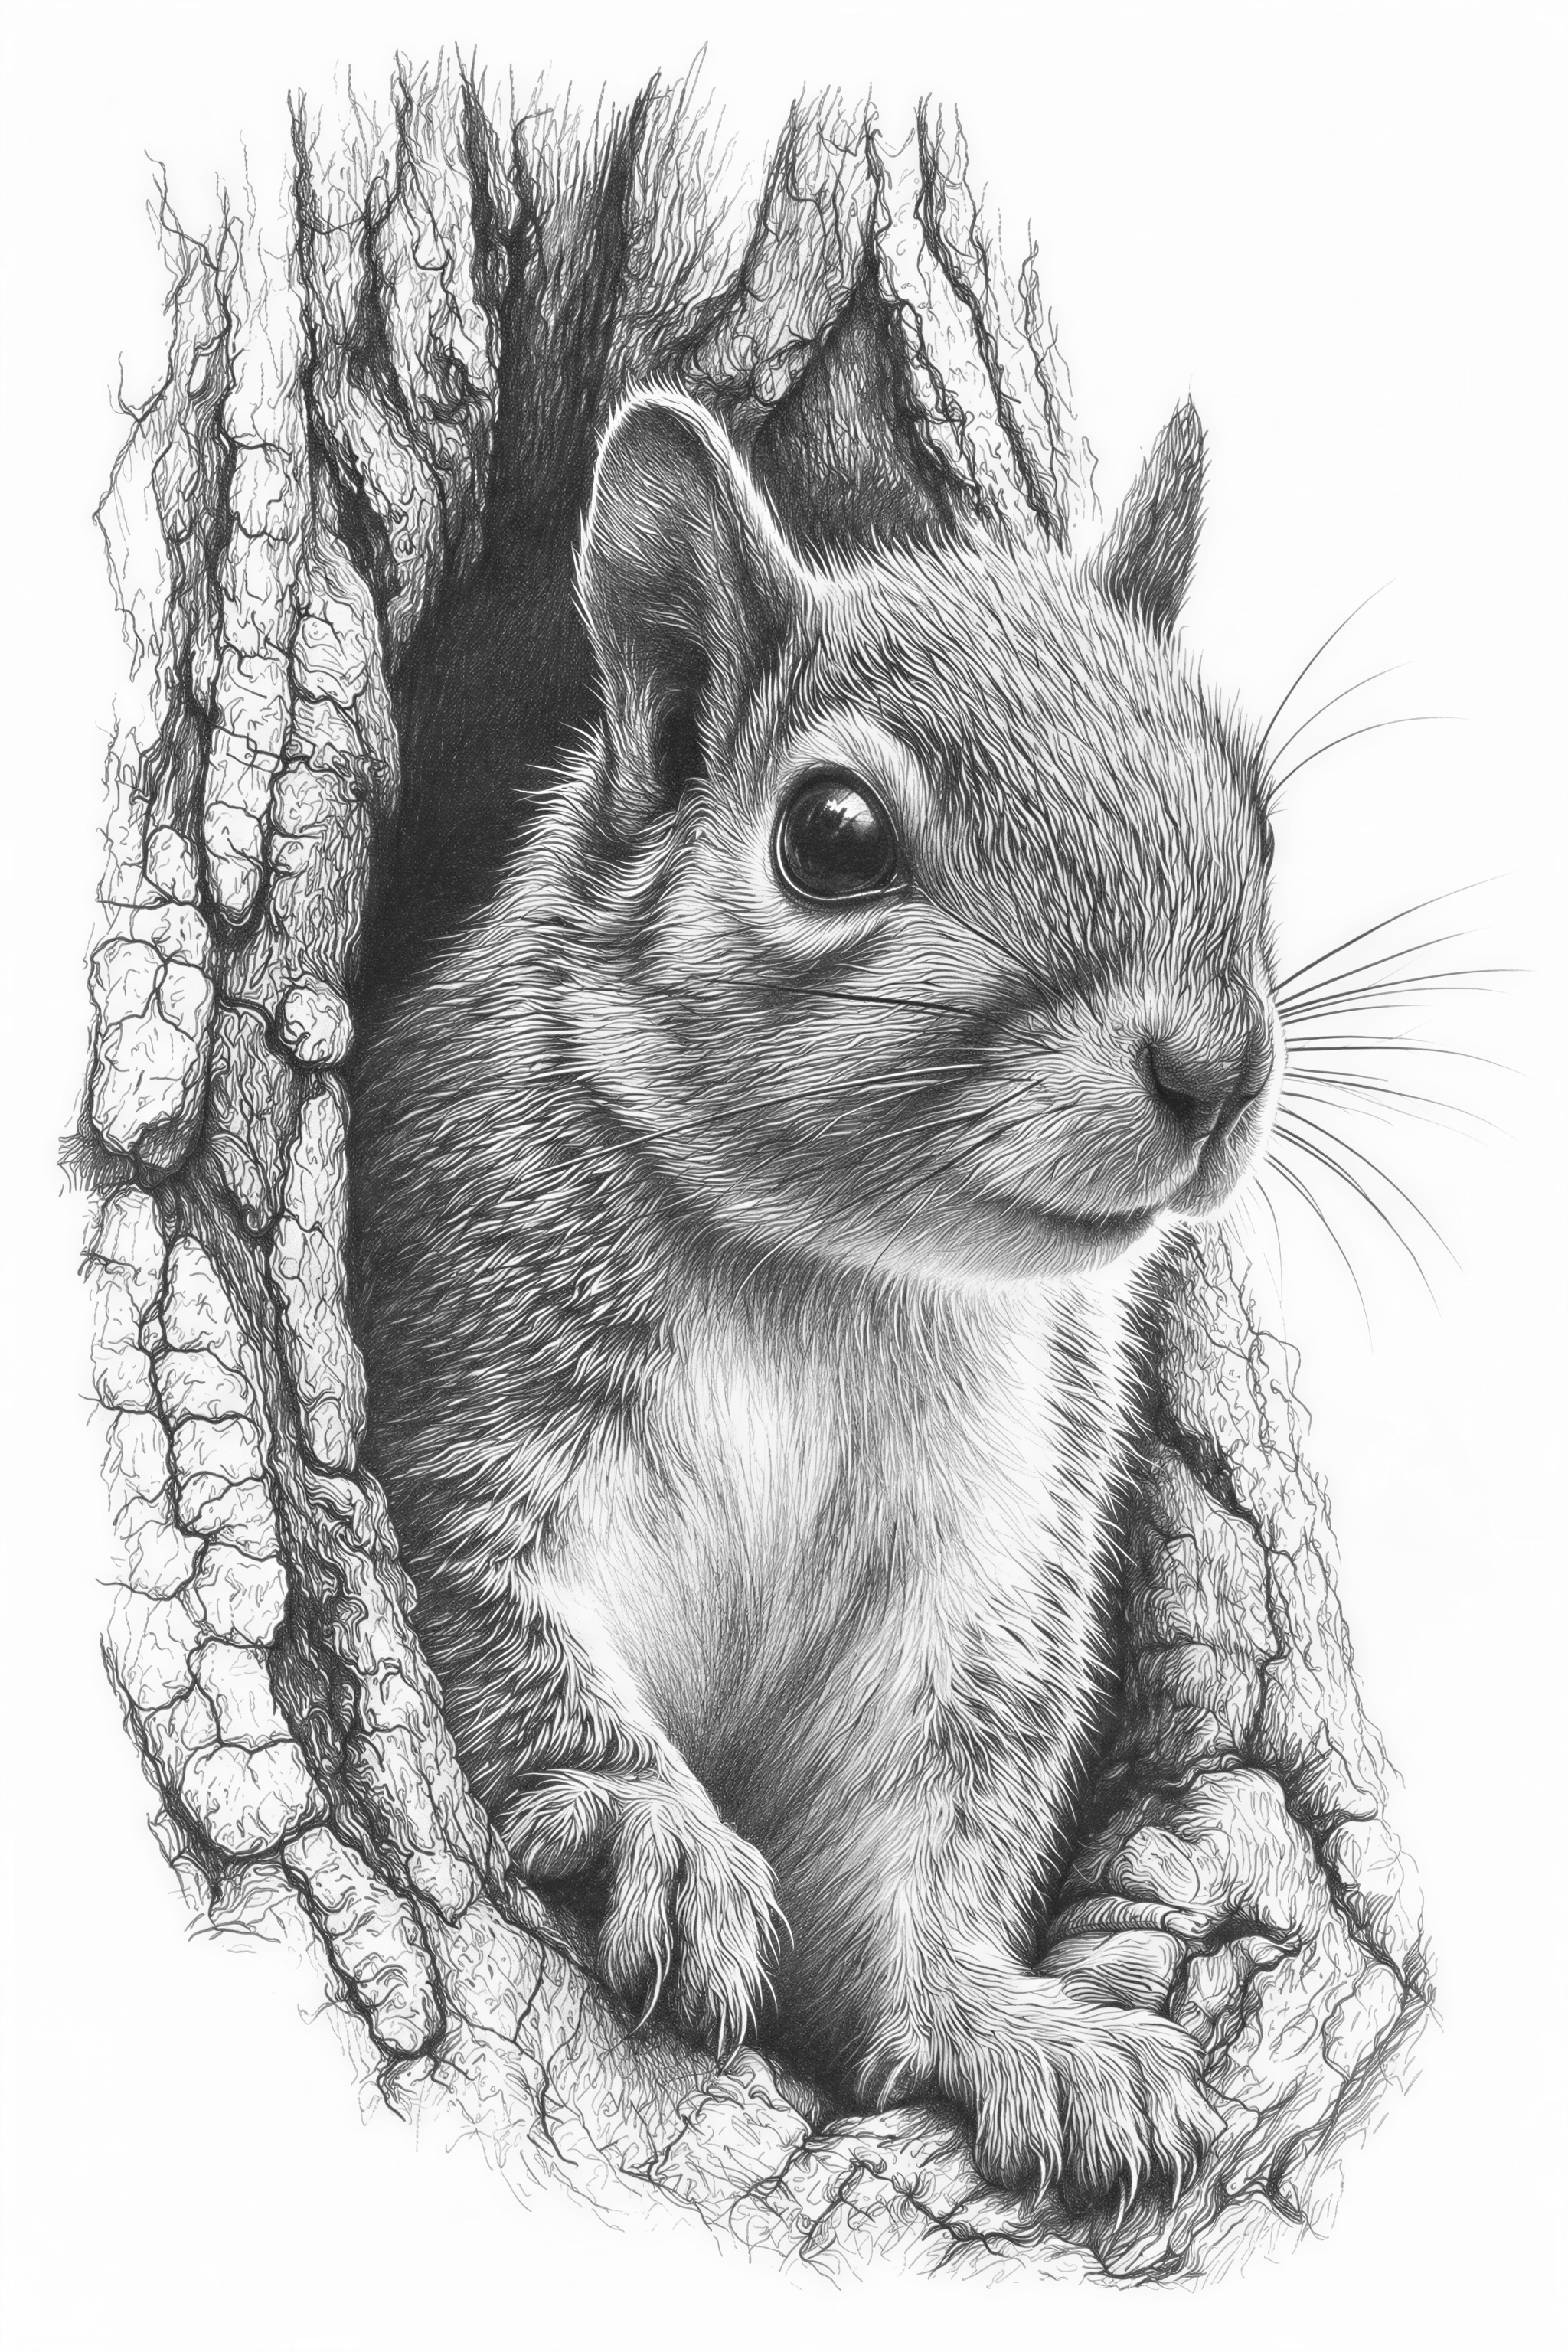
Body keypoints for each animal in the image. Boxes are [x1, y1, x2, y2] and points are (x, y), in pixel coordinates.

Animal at [351, 316, 1282, 2205]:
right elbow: (506, 1631)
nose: (1213, 1070)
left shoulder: (989, 1561)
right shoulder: (466, 1376)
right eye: (832, 835)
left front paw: (1016, 2030)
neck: (834, 1276)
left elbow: (919, 1843)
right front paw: (654, 1832)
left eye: (1252, 799)